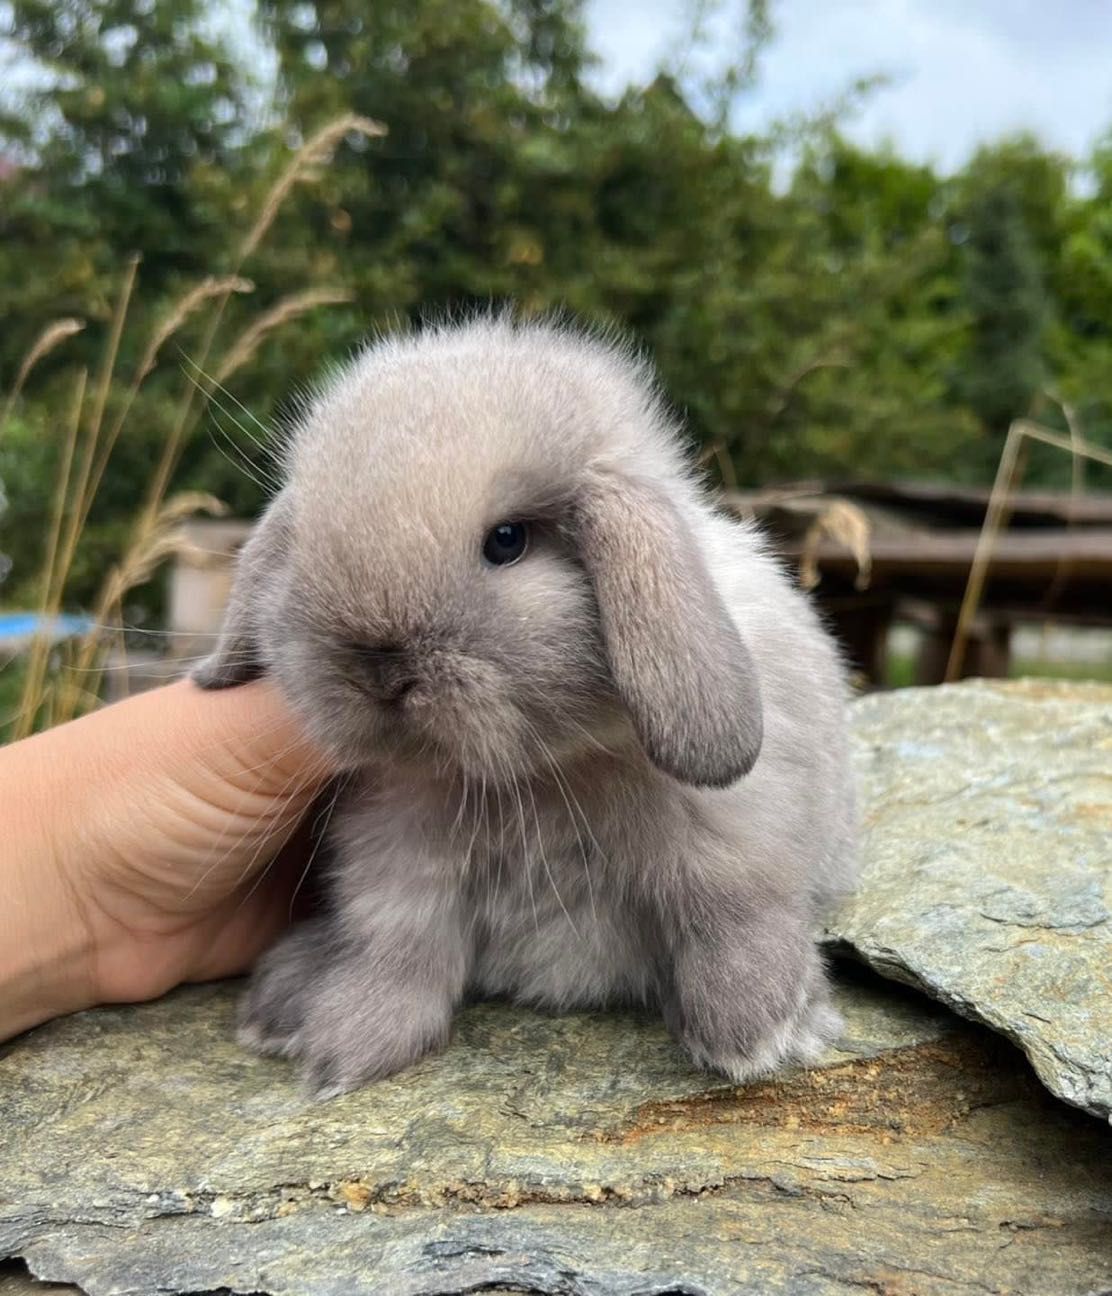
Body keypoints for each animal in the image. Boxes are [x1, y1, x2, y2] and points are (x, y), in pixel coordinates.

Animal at [193, 311, 850, 1093]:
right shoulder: (399, 868)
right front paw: (348, 1047)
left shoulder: (730, 845)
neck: (536, 775)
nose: (379, 669)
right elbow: (396, 953)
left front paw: (757, 1034)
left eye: (507, 541)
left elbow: (733, 920)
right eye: (305, 545)